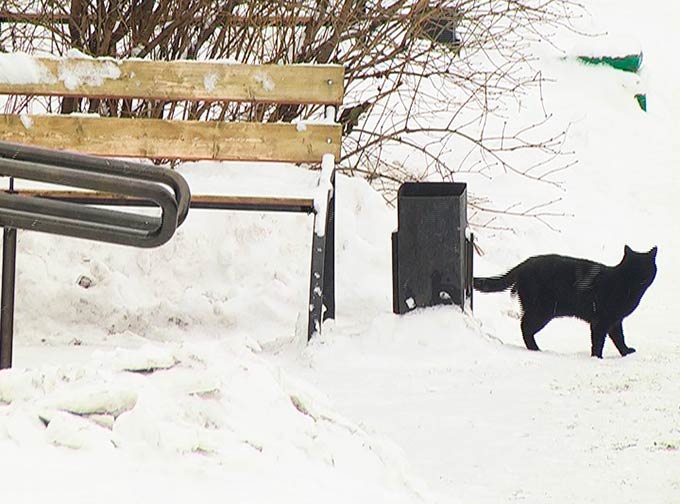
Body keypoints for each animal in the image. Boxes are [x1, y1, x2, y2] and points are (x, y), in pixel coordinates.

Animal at [476, 247, 656, 358]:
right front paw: (597, 357)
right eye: (633, 267)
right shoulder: (601, 321)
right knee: (525, 326)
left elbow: (619, 338)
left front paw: (626, 352)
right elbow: (598, 341)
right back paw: (536, 349)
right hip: (542, 311)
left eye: (645, 267)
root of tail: (523, 264)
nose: (640, 277)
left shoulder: (615, 321)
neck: (626, 287)